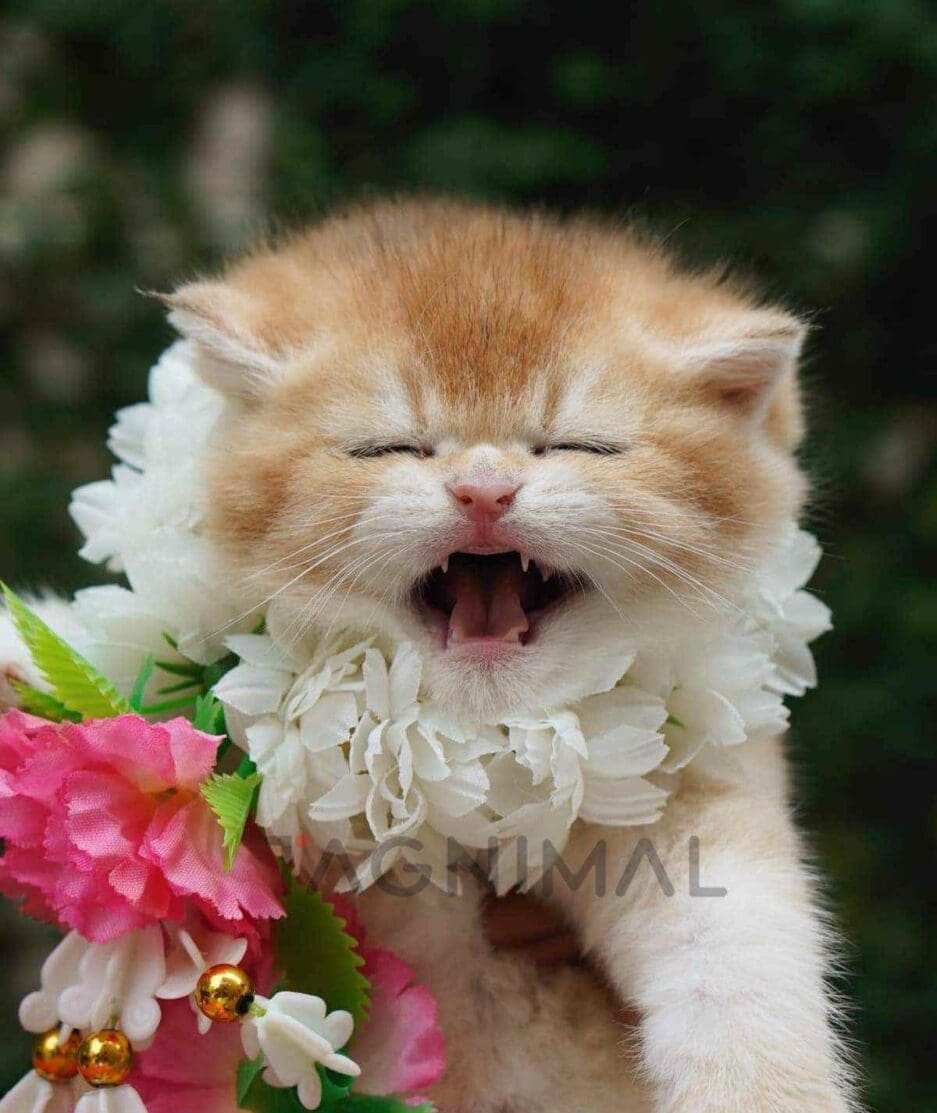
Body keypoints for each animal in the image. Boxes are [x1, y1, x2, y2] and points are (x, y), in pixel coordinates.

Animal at [3, 199, 859, 1111]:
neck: (482, 762)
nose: (483, 489)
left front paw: (762, 1089)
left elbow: (741, 968)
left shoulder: (696, 803)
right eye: (388, 447)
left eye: (578, 445)